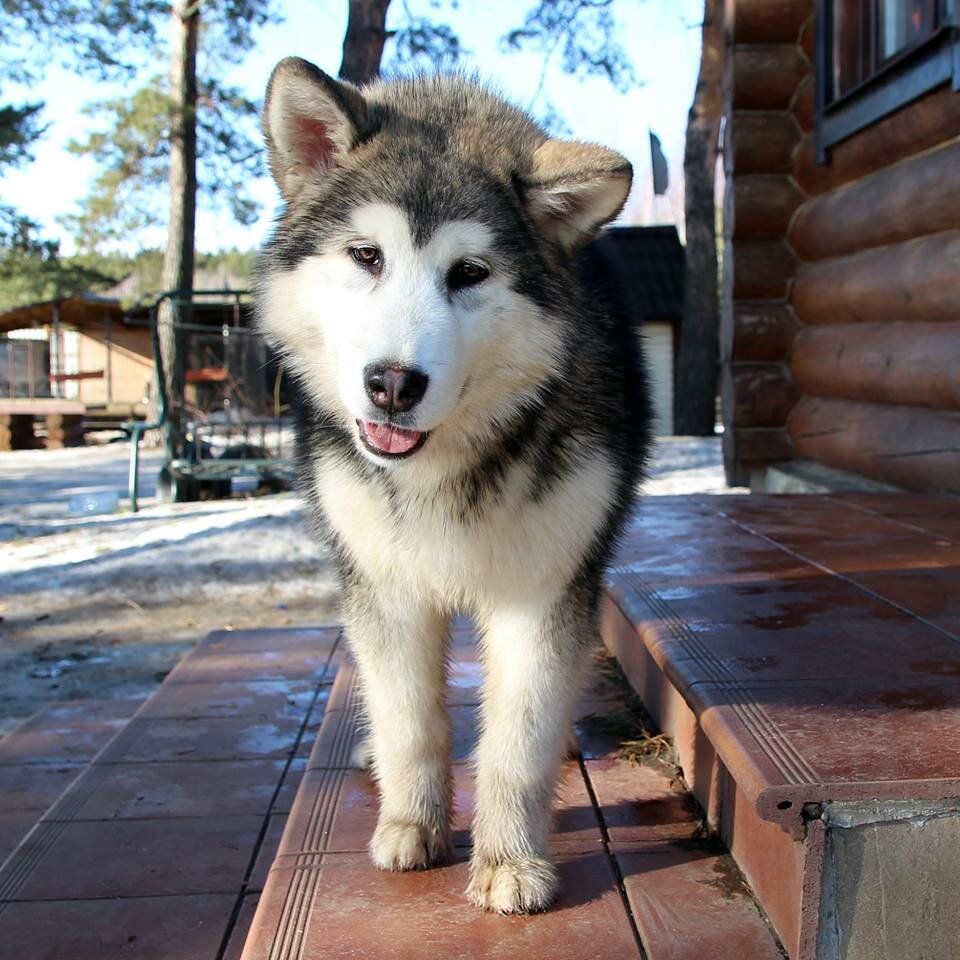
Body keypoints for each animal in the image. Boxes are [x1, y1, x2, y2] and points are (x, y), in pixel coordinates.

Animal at [253, 60, 652, 916]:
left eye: (469, 273)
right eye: (366, 256)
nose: (392, 384)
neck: (445, 465)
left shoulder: (544, 588)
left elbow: (518, 740)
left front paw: (509, 861)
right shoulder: (387, 588)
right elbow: (411, 720)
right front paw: (413, 824)